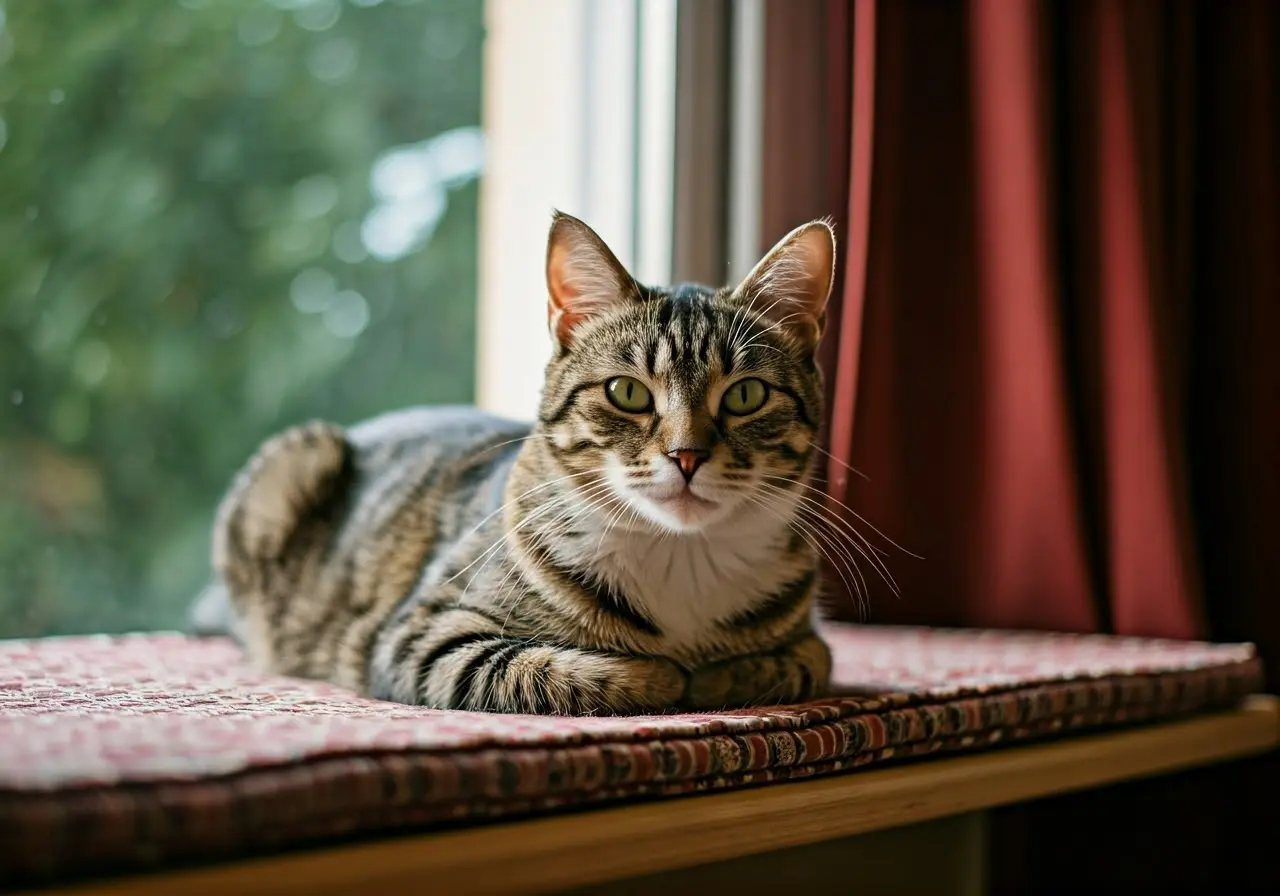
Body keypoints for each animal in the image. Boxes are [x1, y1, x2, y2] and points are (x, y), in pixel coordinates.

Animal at [192, 209, 839, 711]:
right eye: (627, 393)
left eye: (745, 395)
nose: (687, 455)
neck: (681, 557)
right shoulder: (424, 634)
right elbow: (556, 669)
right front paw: (666, 675)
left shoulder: (810, 643)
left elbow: (796, 661)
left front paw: (715, 675)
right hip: (299, 457)